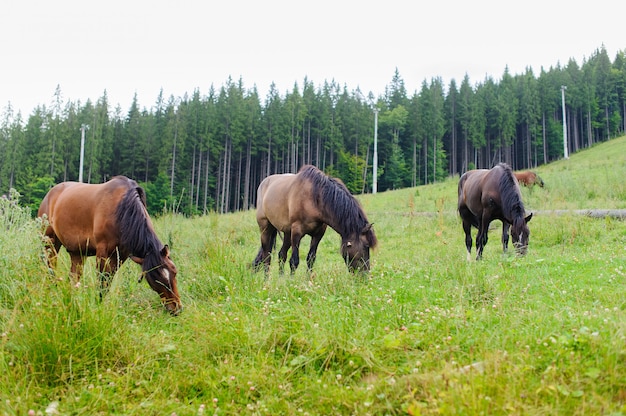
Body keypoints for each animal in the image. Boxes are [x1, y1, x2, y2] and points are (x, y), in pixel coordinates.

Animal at [38, 176, 182, 316]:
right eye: (157, 279)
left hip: (78, 253)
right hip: (50, 242)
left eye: (174, 272)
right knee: (51, 268)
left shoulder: (120, 257)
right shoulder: (103, 252)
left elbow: (107, 283)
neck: (122, 210)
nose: (176, 308)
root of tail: (50, 194)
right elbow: (102, 282)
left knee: (73, 278)